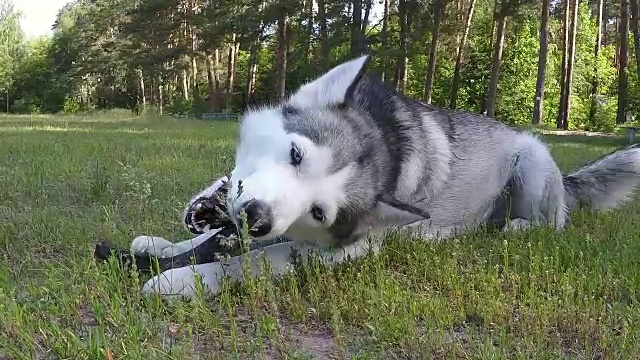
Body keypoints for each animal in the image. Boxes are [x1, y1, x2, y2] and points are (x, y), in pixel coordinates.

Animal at [130, 54, 640, 300]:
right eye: (295, 153)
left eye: (320, 212)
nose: (257, 218)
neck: (385, 138)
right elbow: (209, 239)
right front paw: (168, 247)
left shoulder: (342, 250)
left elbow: (252, 261)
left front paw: (183, 281)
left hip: (531, 158)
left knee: (551, 224)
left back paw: (513, 226)